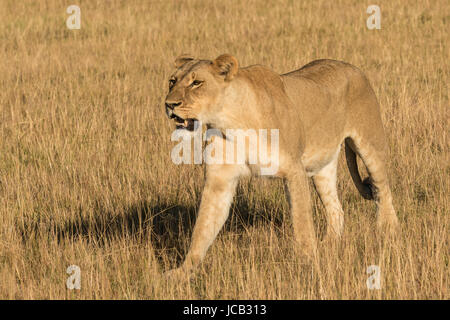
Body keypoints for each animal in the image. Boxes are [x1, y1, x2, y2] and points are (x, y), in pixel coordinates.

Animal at [163, 53, 400, 276]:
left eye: (196, 83)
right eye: (172, 81)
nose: (169, 105)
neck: (230, 121)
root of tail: (351, 66)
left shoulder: (294, 170)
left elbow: (302, 223)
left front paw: (309, 264)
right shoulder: (219, 180)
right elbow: (203, 228)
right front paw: (182, 272)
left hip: (371, 145)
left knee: (383, 192)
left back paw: (387, 234)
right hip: (322, 166)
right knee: (336, 209)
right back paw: (329, 245)